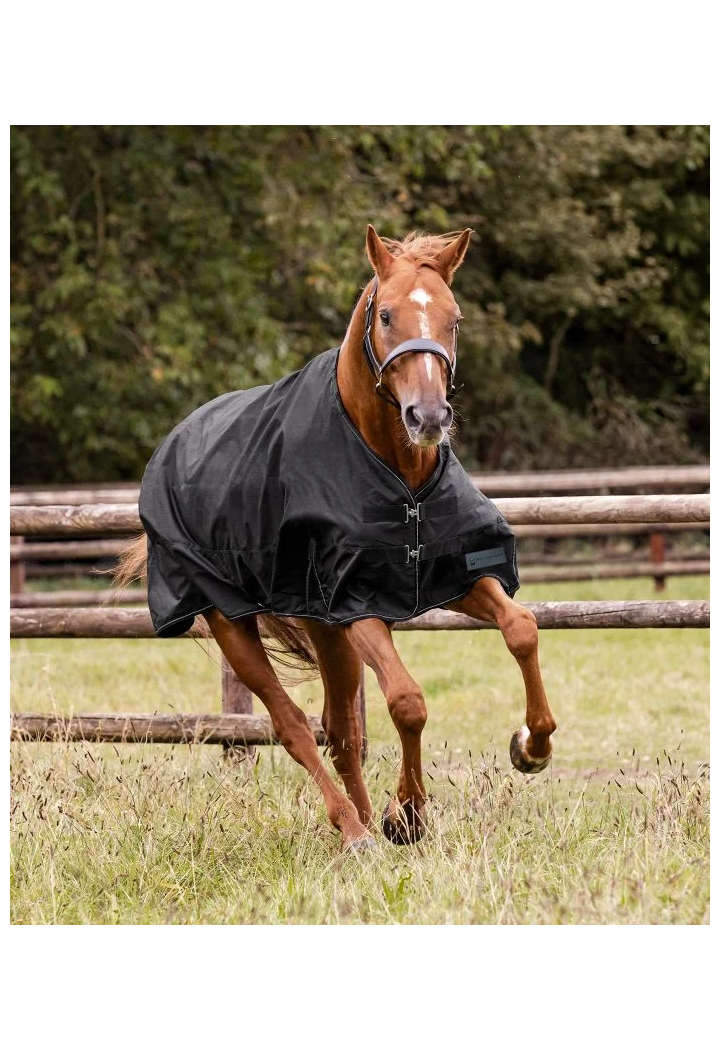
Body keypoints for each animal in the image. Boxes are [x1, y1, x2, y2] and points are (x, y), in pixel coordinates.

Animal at [116, 226, 557, 852]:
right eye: (387, 315)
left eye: (454, 318)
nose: (428, 417)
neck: (398, 474)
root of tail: (171, 446)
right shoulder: (357, 603)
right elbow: (407, 701)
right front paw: (410, 814)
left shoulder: (454, 575)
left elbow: (521, 628)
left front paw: (531, 748)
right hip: (235, 624)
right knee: (294, 726)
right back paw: (354, 828)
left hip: (325, 631)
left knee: (341, 728)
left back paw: (368, 824)